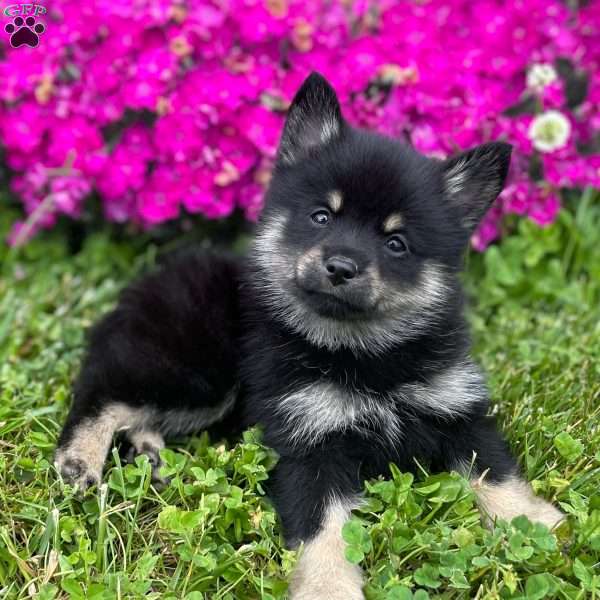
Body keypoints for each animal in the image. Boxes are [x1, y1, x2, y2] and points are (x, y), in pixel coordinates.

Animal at [55, 72, 564, 596]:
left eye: (396, 243)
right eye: (322, 216)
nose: (340, 266)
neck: (363, 353)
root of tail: (150, 281)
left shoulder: (456, 410)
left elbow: (495, 471)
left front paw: (536, 523)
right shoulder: (307, 442)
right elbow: (325, 528)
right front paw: (328, 585)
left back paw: (149, 454)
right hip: (199, 371)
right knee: (106, 392)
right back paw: (81, 458)